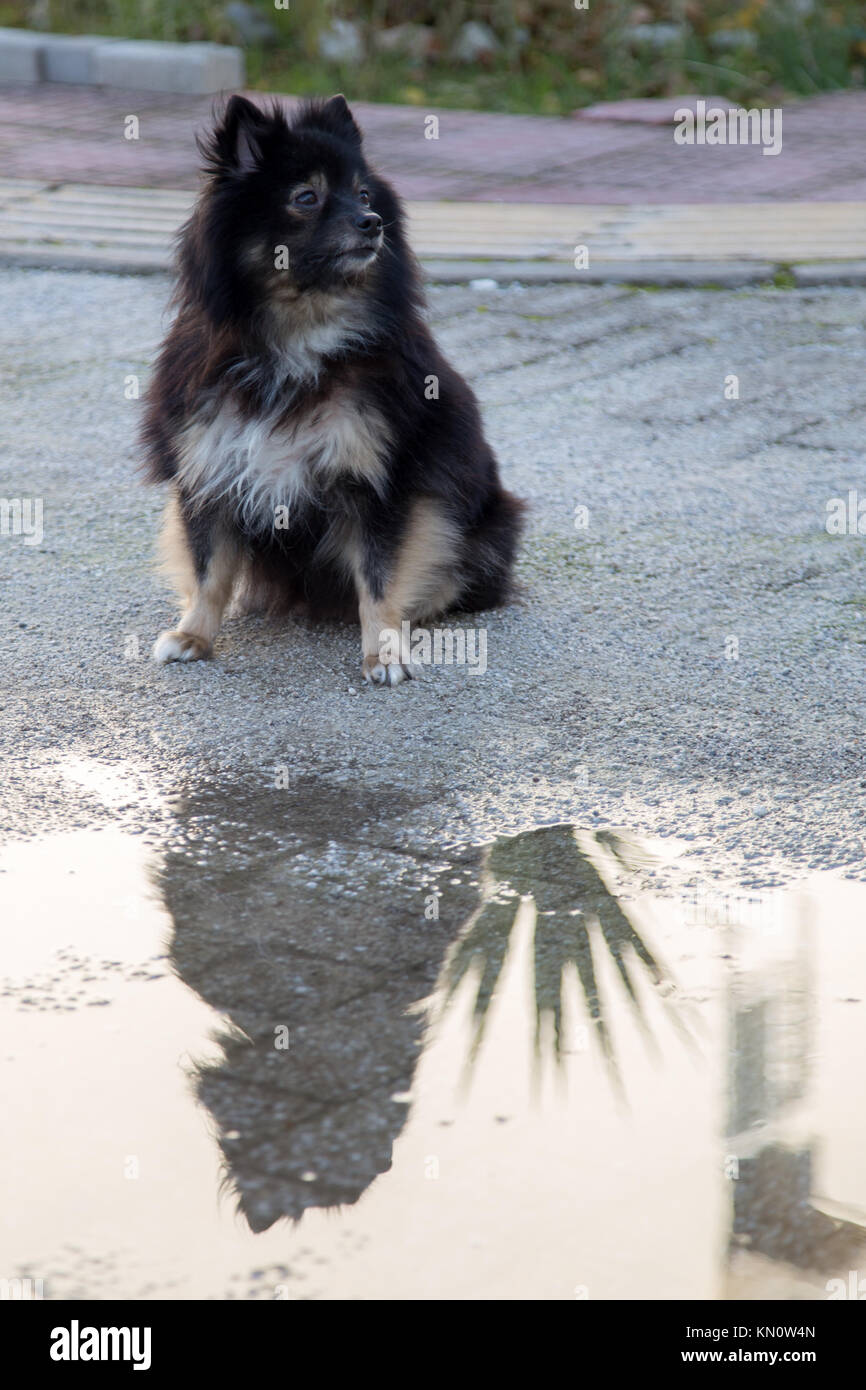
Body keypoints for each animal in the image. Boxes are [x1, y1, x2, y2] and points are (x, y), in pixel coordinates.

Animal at [143, 92, 522, 683]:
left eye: (363, 194)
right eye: (306, 196)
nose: (372, 222)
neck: (296, 339)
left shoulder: (379, 479)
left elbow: (379, 576)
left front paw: (385, 652)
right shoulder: (210, 467)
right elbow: (208, 570)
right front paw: (193, 635)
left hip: (484, 526)